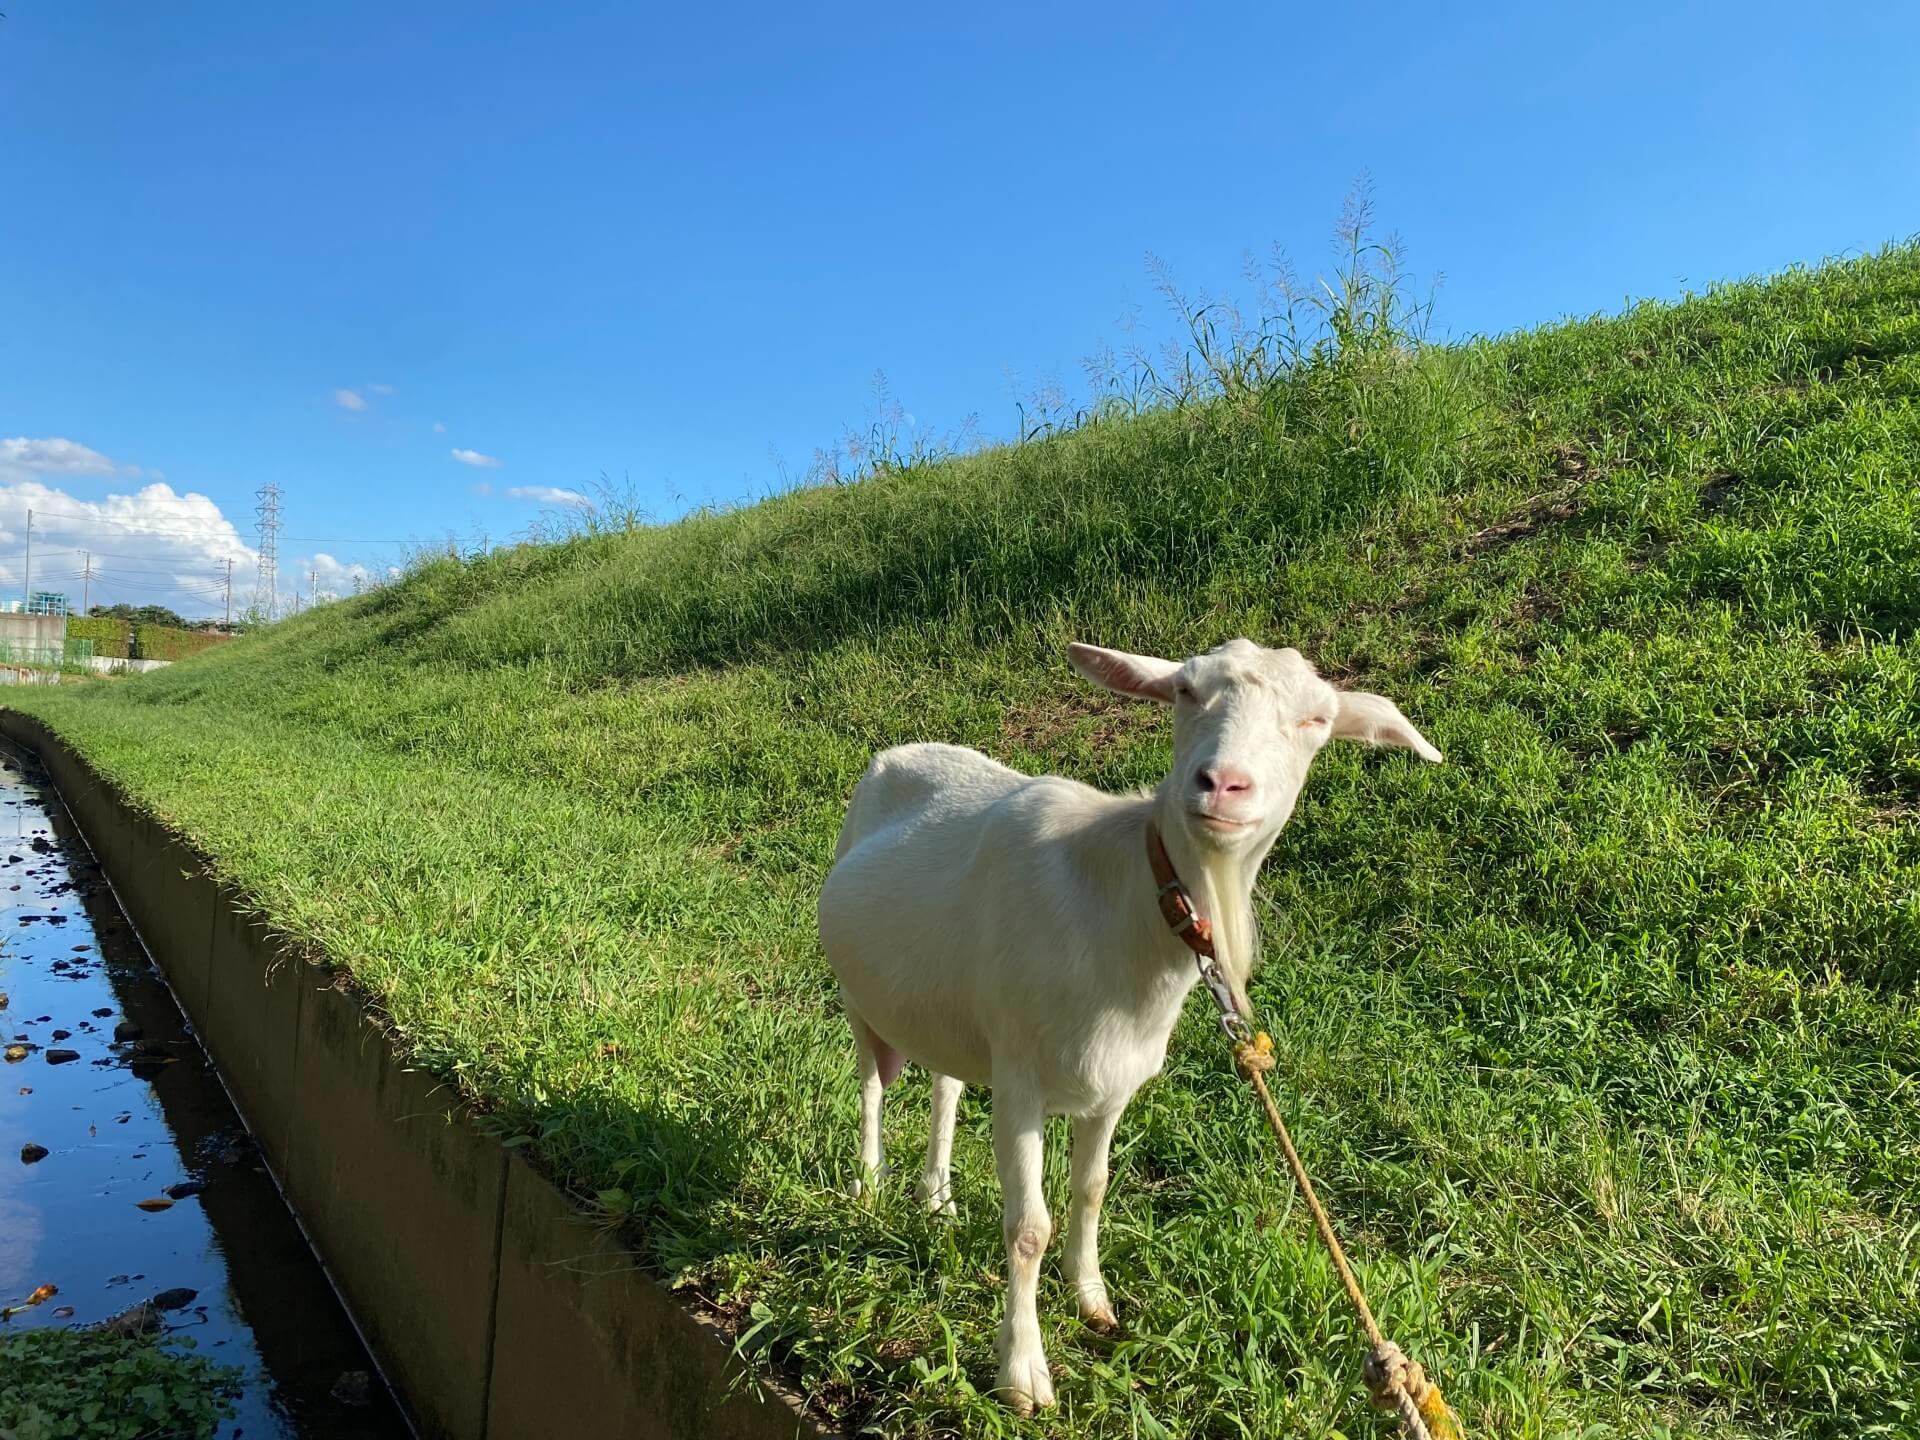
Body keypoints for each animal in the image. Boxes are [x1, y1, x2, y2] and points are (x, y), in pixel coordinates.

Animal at [814, 637, 1443, 1413]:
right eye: (1185, 691)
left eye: (1316, 720)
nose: (1223, 784)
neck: (1125, 906)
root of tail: (897, 753)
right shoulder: (1021, 1076)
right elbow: (1028, 1227)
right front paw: (1023, 1374)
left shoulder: (1111, 1082)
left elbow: (1092, 1188)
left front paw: (1092, 1299)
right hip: (859, 997)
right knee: (873, 1083)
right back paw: (870, 1186)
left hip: (946, 1005)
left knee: (946, 1084)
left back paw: (936, 1198)